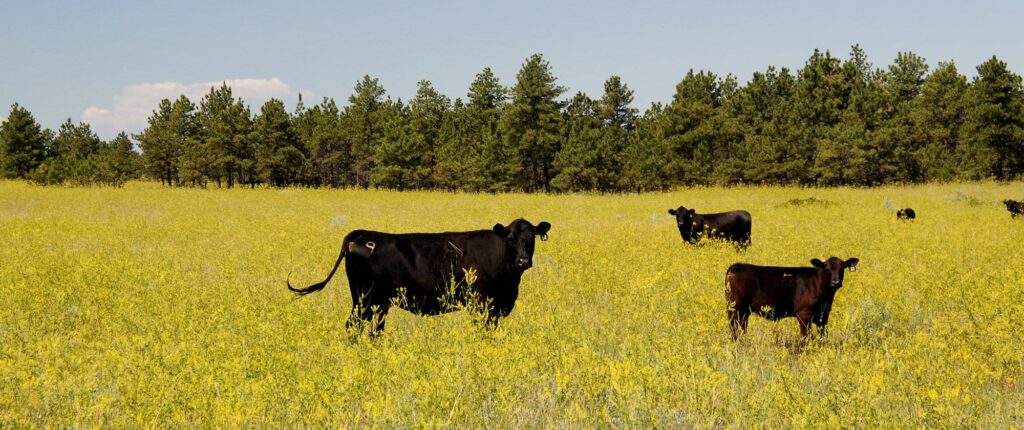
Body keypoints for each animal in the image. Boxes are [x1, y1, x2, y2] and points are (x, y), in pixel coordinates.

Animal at [288, 219, 551, 335]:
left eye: (531, 238)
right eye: (510, 239)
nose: (523, 261)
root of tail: (362, 234)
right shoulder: (482, 304)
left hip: (378, 303)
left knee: (375, 328)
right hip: (364, 298)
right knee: (354, 325)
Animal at [724, 256, 859, 341]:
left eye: (842, 268)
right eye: (826, 268)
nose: (835, 282)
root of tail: (736, 266)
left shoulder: (824, 315)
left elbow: (823, 336)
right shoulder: (804, 313)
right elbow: (806, 337)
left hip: (743, 311)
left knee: (741, 328)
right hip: (736, 308)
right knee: (735, 329)